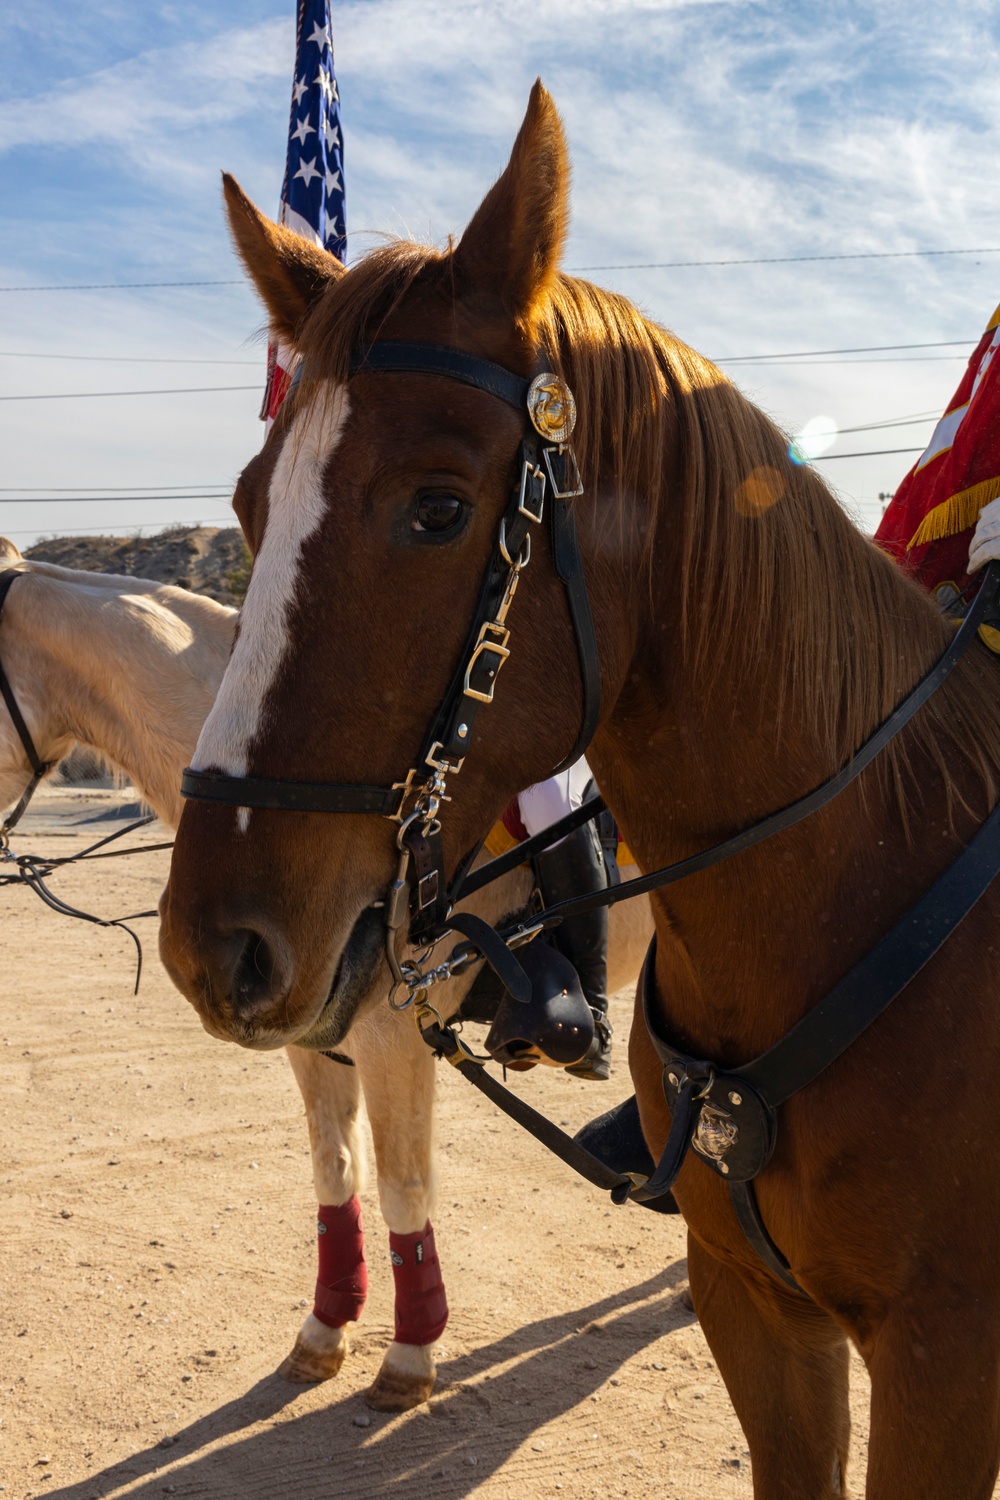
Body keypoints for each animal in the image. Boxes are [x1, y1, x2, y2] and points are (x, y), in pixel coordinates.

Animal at [0, 540, 653, 1404]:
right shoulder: (308, 1041)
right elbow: (334, 1173)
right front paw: (325, 1330)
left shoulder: (398, 1041)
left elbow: (404, 1184)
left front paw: (410, 1354)